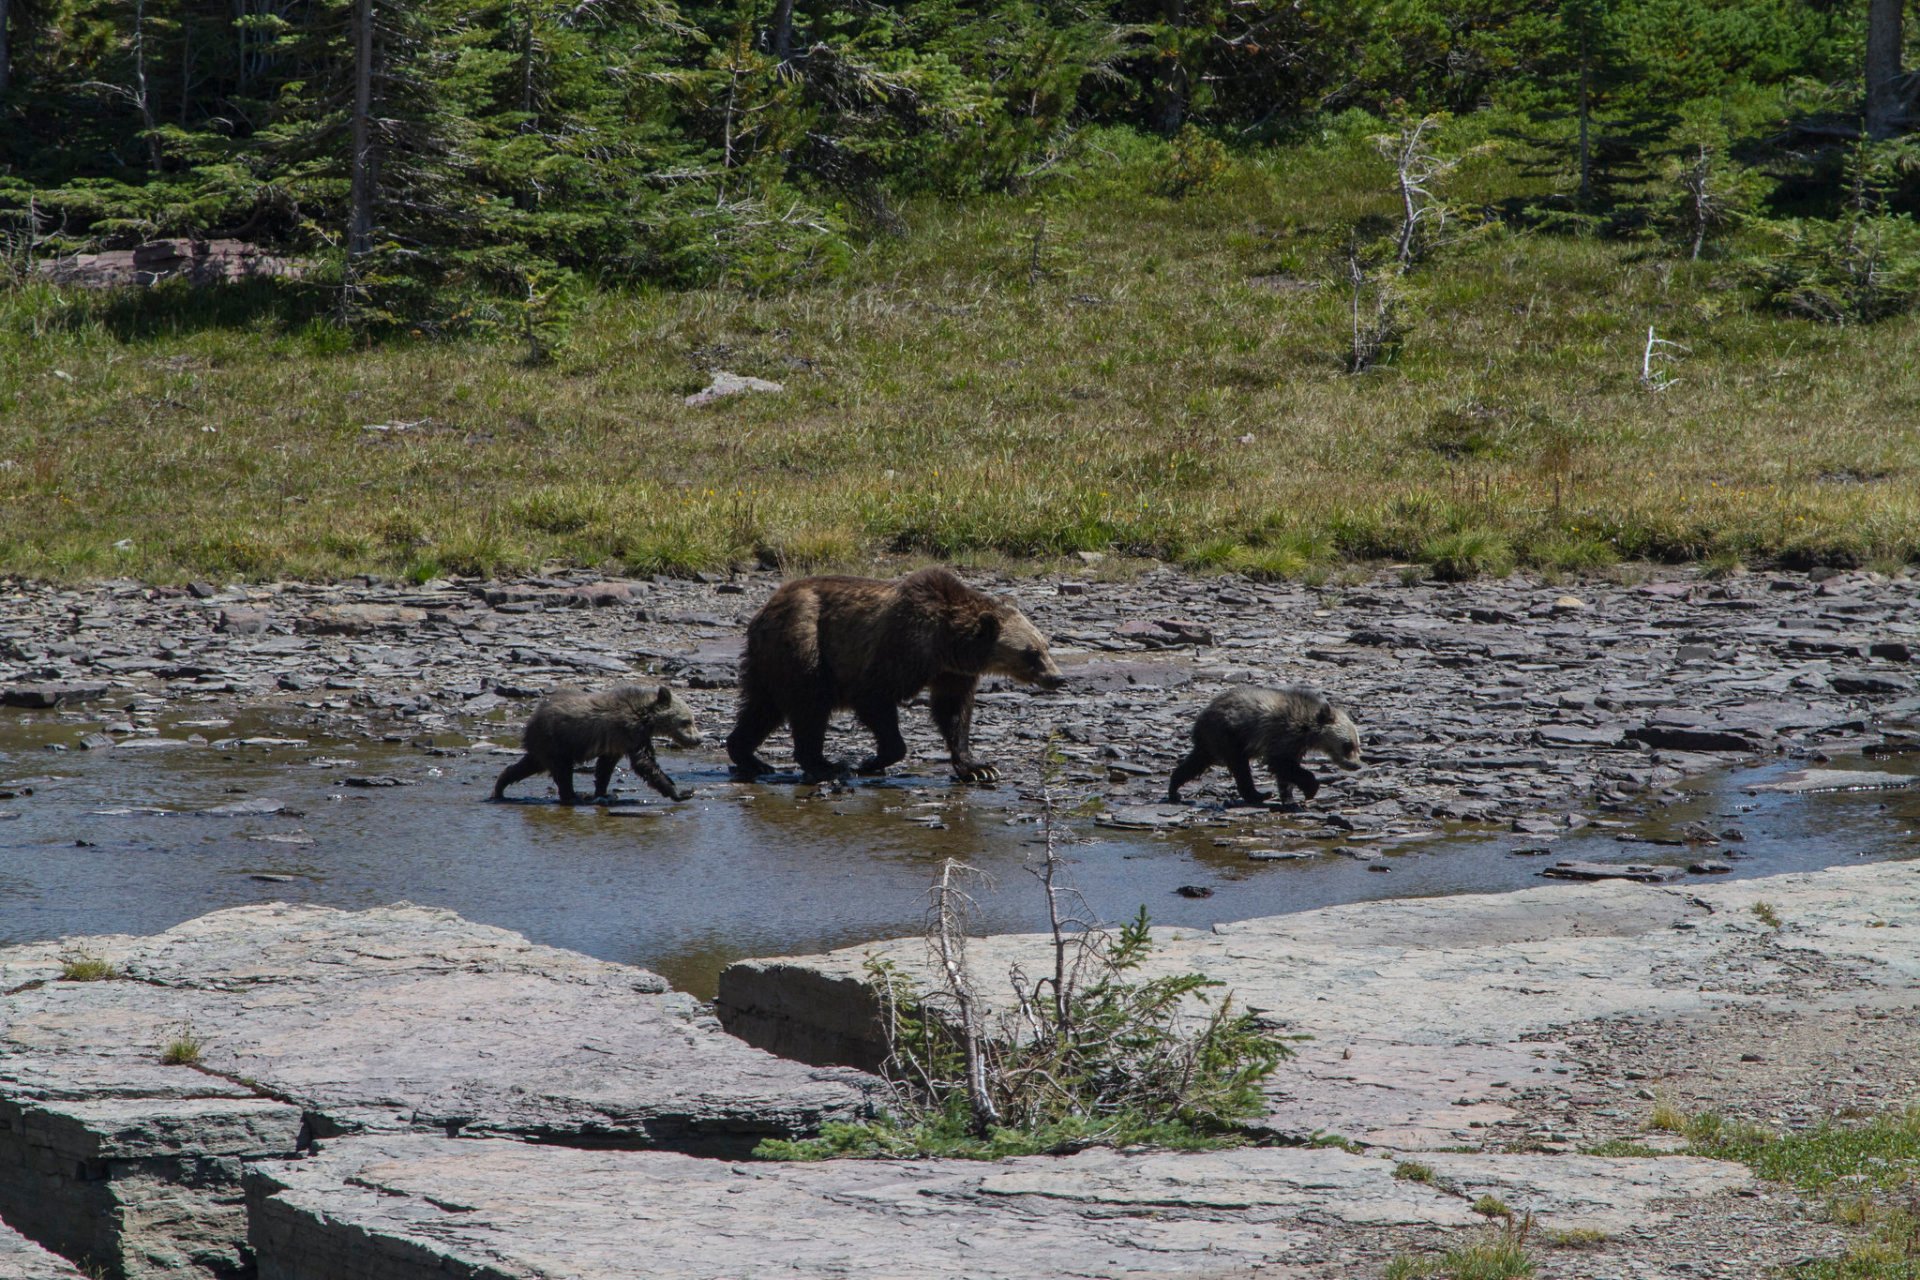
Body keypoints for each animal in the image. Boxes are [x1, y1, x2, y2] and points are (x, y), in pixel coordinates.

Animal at [495, 687, 706, 805]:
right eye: (686, 721)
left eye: (693, 720)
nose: (698, 739)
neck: (646, 717)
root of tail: (531, 721)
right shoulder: (631, 733)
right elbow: (644, 763)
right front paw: (681, 792)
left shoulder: (618, 742)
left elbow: (605, 767)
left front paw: (603, 793)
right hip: (556, 741)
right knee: (562, 771)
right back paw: (574, 796)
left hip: (545, 747)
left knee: (527, 765)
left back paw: (500, 787)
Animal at [729, 568, 1075, 786]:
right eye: (1032, 653)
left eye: (1046, 646)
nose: (1058, 678)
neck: (946, 643)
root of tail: (764, 609)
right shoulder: (899, 648)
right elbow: (873, 696)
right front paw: (871, 761)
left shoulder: (952, 672)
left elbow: (953, 712)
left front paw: (979, 768)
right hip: (804, 643)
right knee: (810, 704)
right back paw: (826, 765)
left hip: (768, 660)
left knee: (761, 707)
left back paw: (750, 756)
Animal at [1152, 687, 1367, 805]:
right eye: (1347, 745)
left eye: (1358, 746)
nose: (1356, 765)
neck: (1309, 730)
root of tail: (1200, 718)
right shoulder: (1283, 733)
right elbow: (1280, 763)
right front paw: (1310, 788)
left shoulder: (1294, 744)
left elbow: (1286, 770)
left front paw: (1288, 796)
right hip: (1228, 735)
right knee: (1240, 767)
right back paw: (1258, 794)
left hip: (1211, 742)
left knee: (1195, 763)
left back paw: (1174, 789)